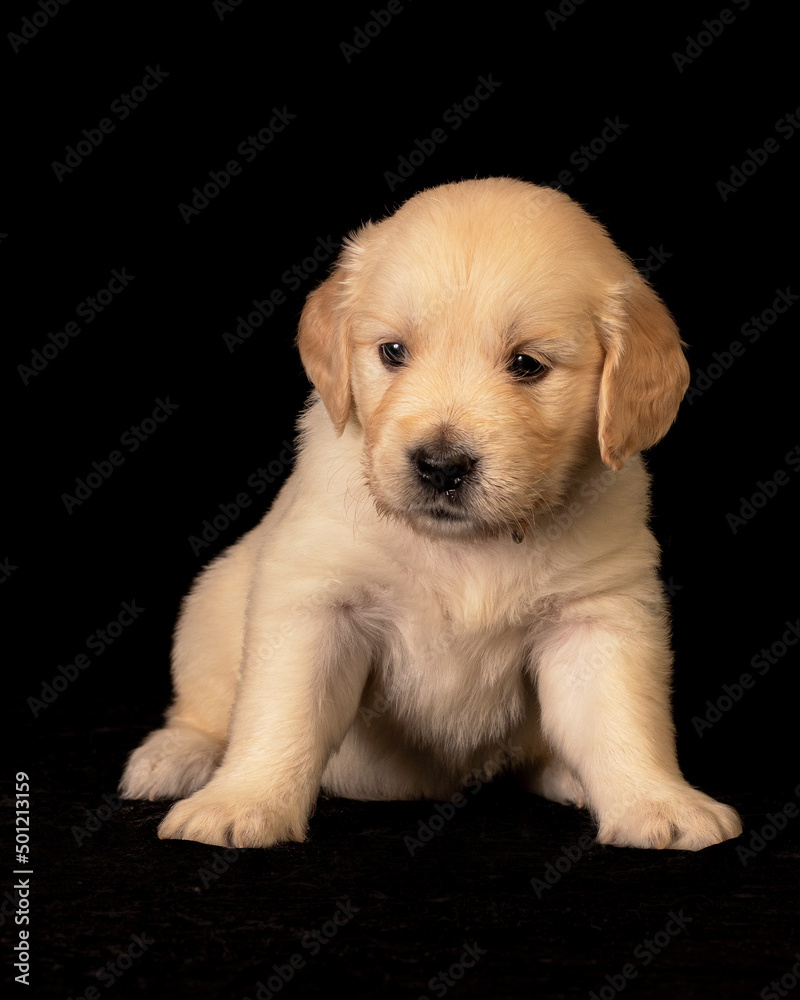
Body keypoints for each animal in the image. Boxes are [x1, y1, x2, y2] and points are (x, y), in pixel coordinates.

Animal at [119, 180, 744, 852]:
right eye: (393, 352)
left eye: (527, 364)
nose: (441, 467)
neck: (467, 545)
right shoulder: (316, 600)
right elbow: (281, 713)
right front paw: (242, 802)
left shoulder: (598, 616)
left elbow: (622, 718)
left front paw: (656, 801)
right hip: (211, 604)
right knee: (202, 707)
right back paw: (175, 757)